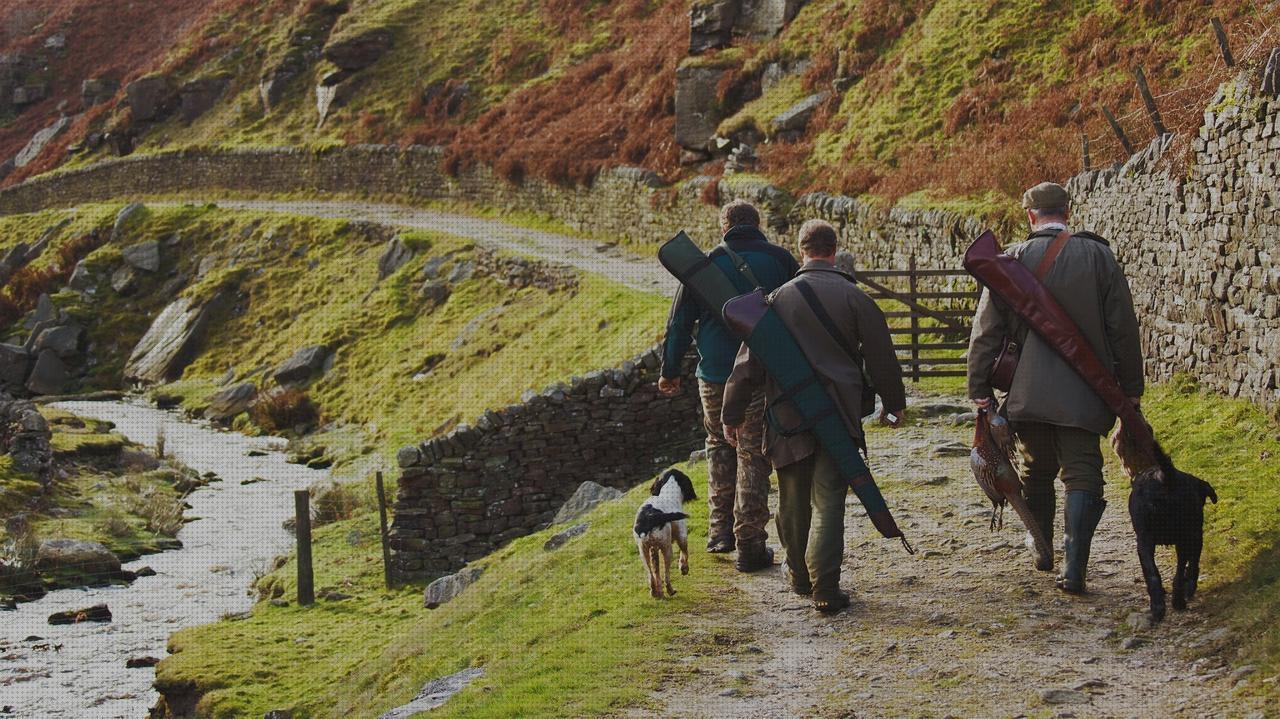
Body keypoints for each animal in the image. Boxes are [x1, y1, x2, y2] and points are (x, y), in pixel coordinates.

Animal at [1131, 445, 1218, 619]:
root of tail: (1164, 477)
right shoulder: (1196, 536)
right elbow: (1193, 564)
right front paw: (1190, 585)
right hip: (1186, 537)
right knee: (1179, 573)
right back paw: (1179, 601)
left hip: (1145, 541)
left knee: (1153, 574)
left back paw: (1158, 607)